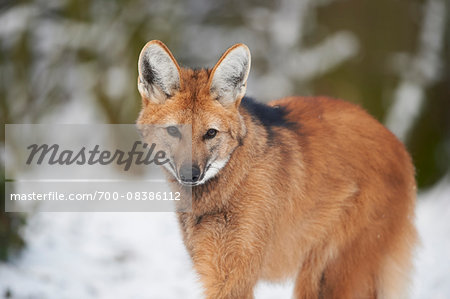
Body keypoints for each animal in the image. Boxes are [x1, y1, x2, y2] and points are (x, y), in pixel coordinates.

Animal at [135, 40, 416, 299]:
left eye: (210, 133)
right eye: (174, 131)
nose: (190, 175)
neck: (229, 184)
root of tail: (396, 142)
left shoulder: (233, 274)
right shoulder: (213, 267)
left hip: (328, 273)